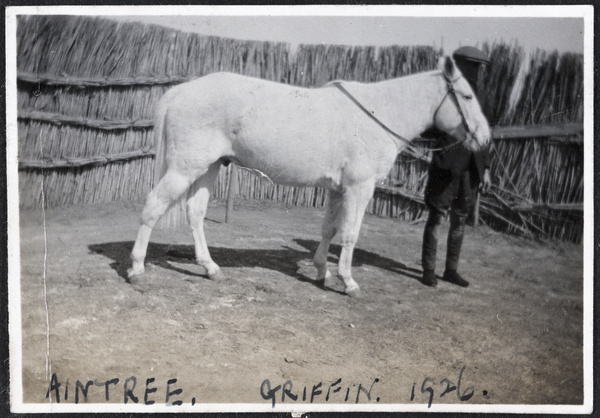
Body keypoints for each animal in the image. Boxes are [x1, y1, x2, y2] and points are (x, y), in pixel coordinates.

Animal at [129, 56, 490, 298]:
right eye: (467, 96)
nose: (485, 139)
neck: (377, 113)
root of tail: (181, 92)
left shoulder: (337, 189)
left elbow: (329, 229)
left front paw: (322, 272)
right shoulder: (359, 188)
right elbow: (350, 234)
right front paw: (348, 282)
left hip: (210, 167)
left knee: (195, 213)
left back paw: (210, 268)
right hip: (185, 168)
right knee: (153, 206)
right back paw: (136, 268)